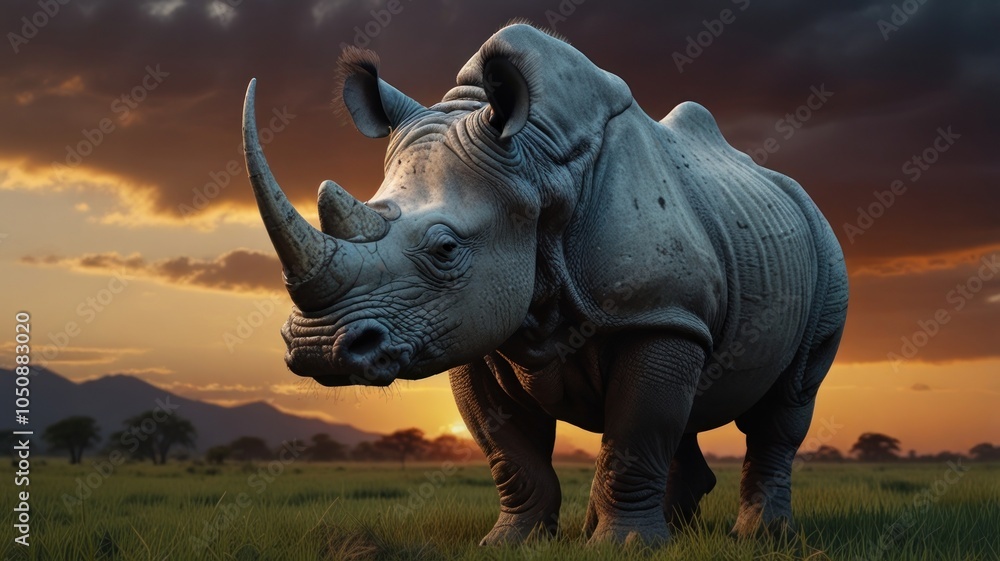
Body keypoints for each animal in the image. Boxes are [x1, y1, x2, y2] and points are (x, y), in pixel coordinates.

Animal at [241, 23, 848, 545]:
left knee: (787, 402)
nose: (319, 348)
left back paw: (759, 535)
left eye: (445, 249)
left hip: (823, 248)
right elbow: (509, 451)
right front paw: (511, 542)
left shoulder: (657, 308)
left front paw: (625, 548)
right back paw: (670, 532)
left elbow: (637, 431)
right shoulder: (475, 322)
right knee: (692, 402)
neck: (536, 171)